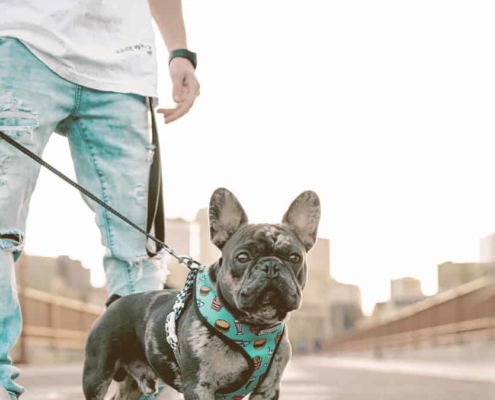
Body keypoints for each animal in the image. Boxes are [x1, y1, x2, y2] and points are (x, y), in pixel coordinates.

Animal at [82, 188, 322, 400]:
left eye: (294, 258)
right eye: (242, 257)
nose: (271, 265)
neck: (255, 327)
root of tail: (115, 301)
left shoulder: (268, 388)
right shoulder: (199, 385)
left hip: (135, 384)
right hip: (97, 375)